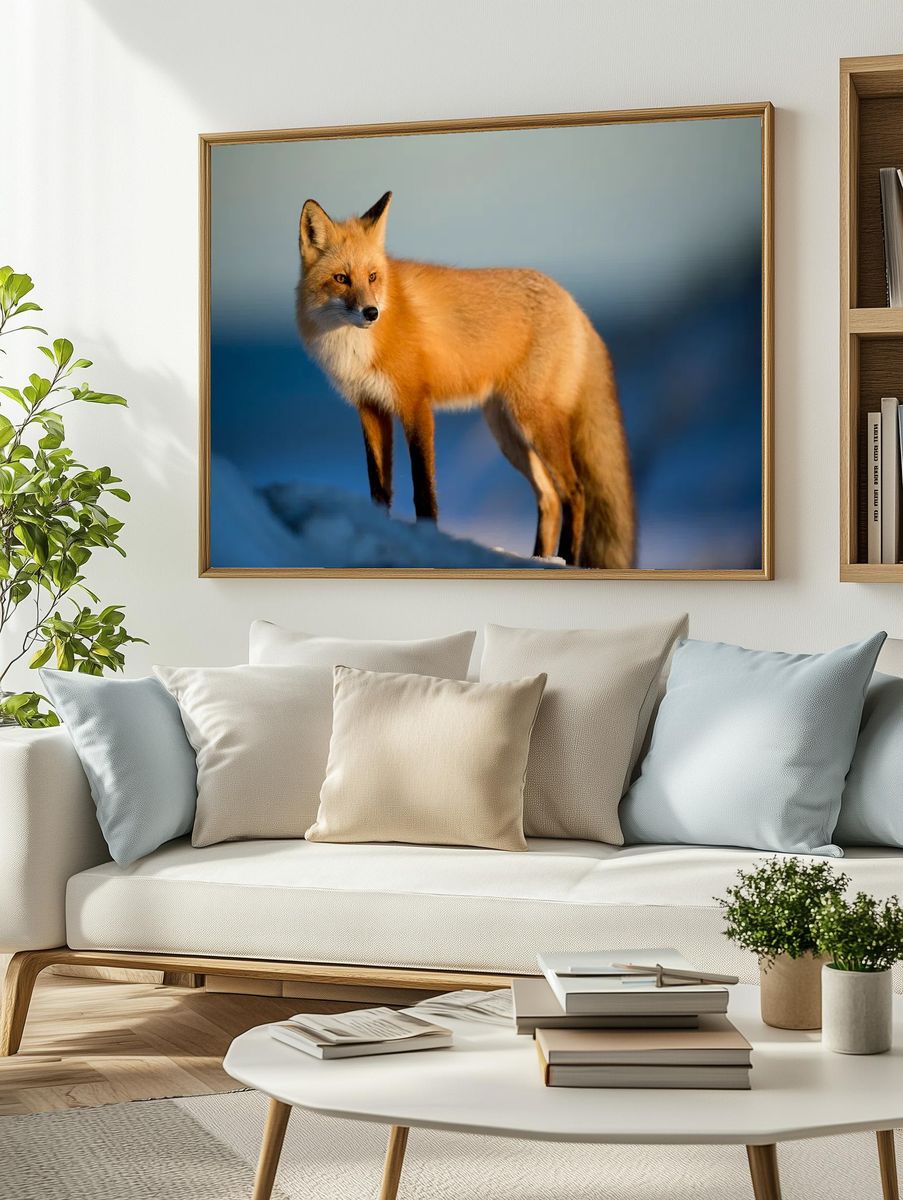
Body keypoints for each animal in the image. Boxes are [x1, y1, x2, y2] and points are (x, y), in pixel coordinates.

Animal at [295, 190, 635, 568]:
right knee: (549, 498)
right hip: (508, 434)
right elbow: (379, 489)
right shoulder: (370, 408)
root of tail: (575, 305)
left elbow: (423, 489)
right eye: (341, 278)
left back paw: (567, 560)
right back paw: (539, 559)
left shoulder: (416, 404)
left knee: (574, 492)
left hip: (535, 422)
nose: (372, 313)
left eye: (372, 277)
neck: (355, 346)